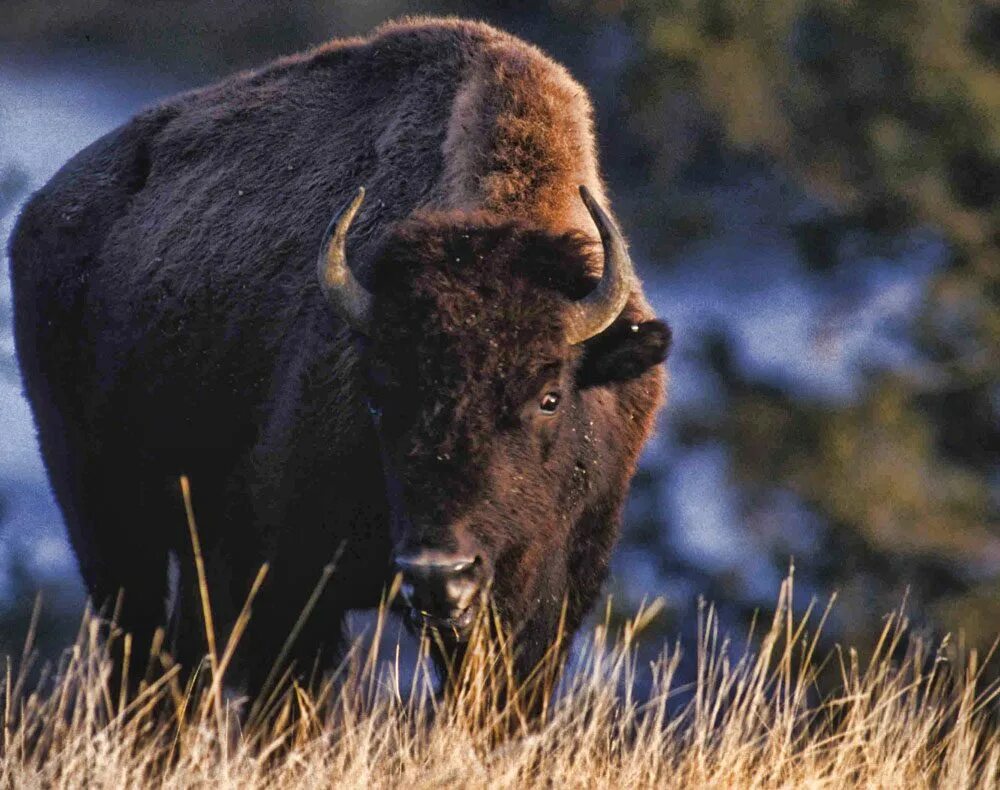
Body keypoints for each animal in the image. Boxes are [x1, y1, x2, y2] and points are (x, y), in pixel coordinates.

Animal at [7, 18, 672, 696]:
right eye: (377, 397)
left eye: (549, 397)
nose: (440, 572)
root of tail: (41, 211)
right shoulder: (291, 583)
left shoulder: (547, 602)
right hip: (104, 520)